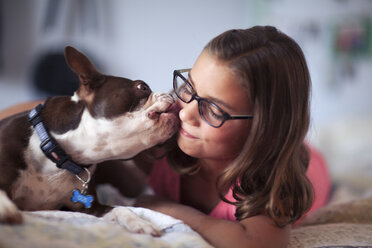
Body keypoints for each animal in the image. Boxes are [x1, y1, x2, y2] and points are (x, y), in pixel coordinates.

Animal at [0, 46, 179, 234]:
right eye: (142, 86)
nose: (171, 95)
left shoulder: (90, 208)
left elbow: (121, 209)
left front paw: (140, 223)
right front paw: (5, 207)